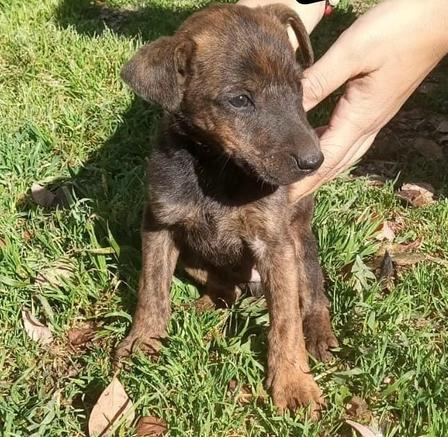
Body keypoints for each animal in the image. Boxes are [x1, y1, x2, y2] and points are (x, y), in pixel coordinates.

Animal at [116, 3, 338, 415]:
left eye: (298, 86)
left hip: (300, 242)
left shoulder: (275, 244)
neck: (216, 167)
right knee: (225, 288)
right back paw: (205, 307)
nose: (314, 162)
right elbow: (151, 289)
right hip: (192, 257)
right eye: (239, 100)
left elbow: (286, 322)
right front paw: (143, 340)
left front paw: (293, 383)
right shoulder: (159, 224)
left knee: (313, 295)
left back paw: (319, 333)